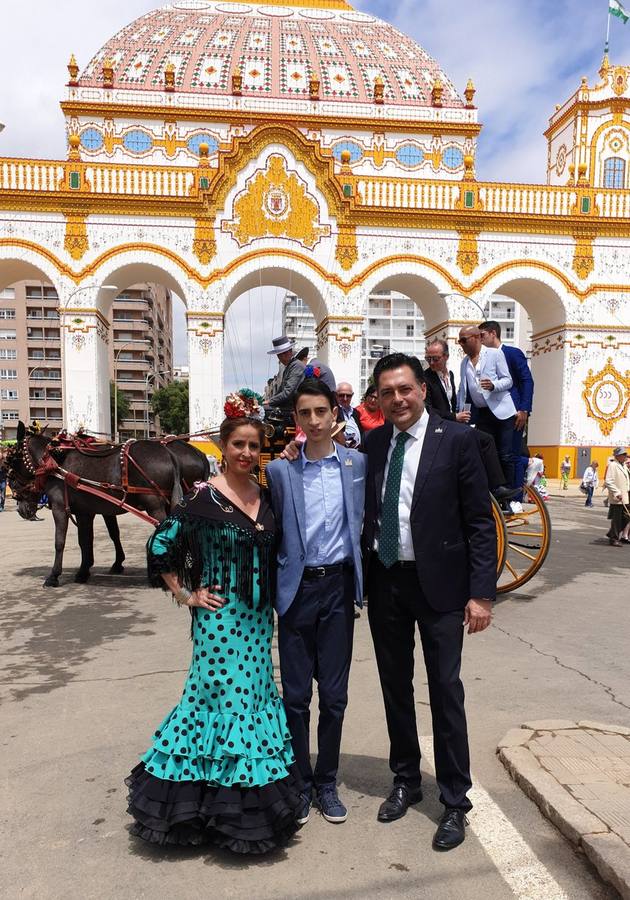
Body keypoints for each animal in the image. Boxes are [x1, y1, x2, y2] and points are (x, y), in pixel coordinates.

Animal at [8, 426, 210, 588]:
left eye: (12, 460)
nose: (21, 508)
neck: (55, 462)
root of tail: (169, 454)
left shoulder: (60, 507)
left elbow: (60, 542)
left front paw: (53, 576)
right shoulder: (86, 512)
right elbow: (87, 540)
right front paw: (84, 571)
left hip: (155, 506)